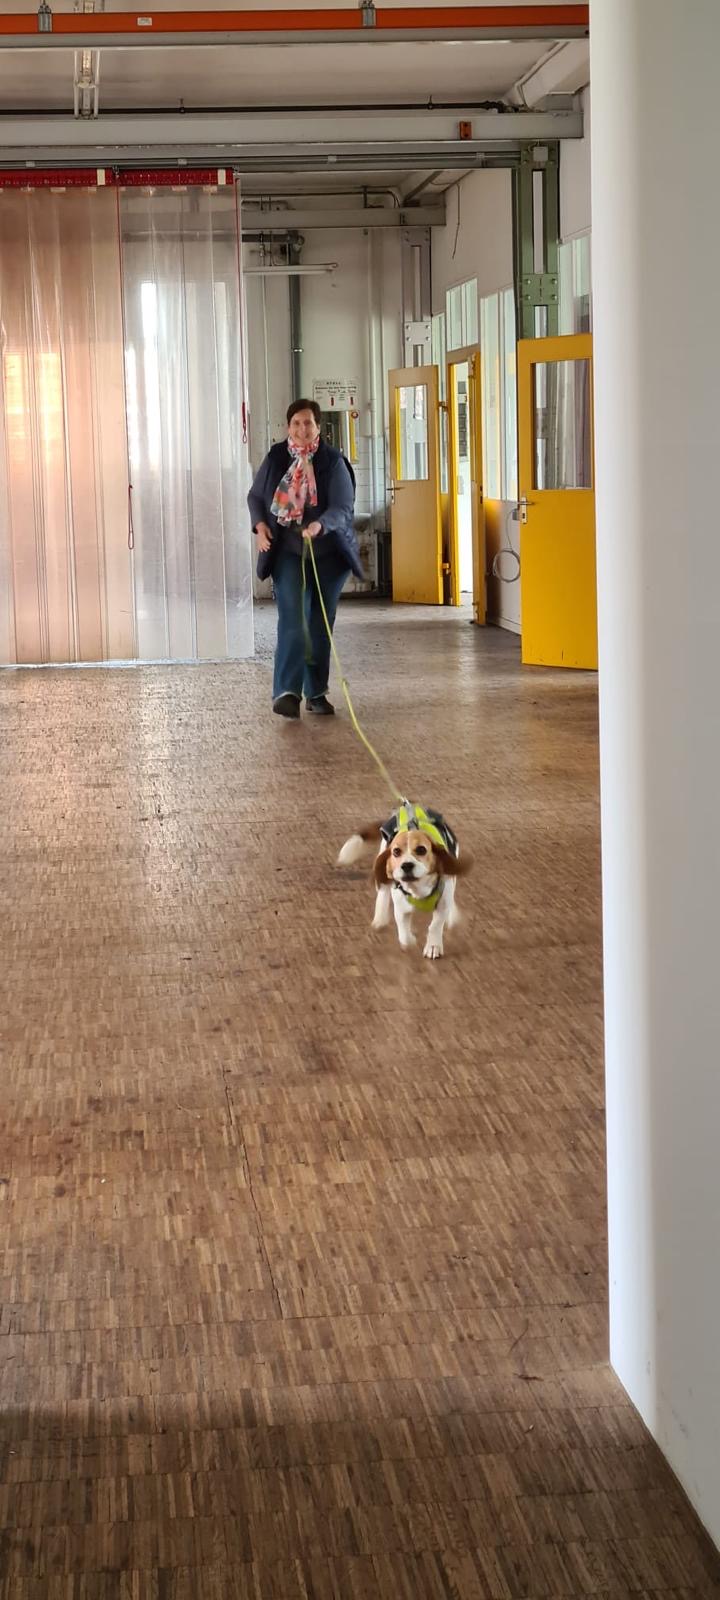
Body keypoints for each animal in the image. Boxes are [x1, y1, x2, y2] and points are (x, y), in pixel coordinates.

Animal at [338, 802, 467, 960]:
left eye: (421, 850)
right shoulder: (401, 907)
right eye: (396, 851)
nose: (406, 865)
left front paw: (433, 946)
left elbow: (435, 925)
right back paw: (380, 918)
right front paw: (410, 940)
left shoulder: (442, 903)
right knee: (383, 893)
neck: (418, 888)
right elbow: (404, 932)